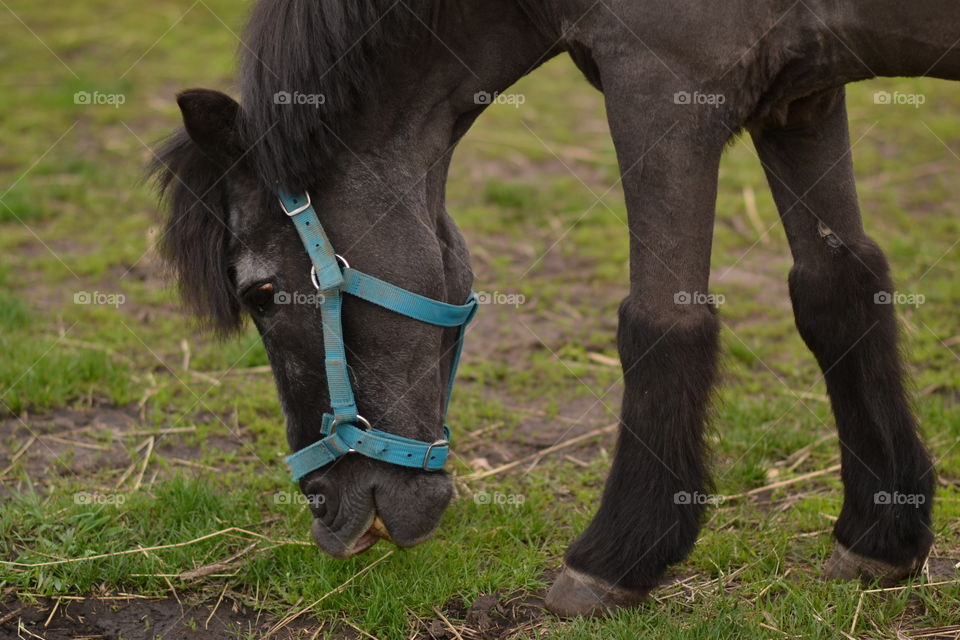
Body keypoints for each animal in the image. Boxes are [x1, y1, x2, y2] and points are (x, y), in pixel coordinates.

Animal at [150, 0, 960, 618]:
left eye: (259, 293)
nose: (324, 509)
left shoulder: (664, 85)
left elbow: (661, 322)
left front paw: (618, 558)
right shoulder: (802, 95)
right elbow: (836, 290)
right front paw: (882, 534)